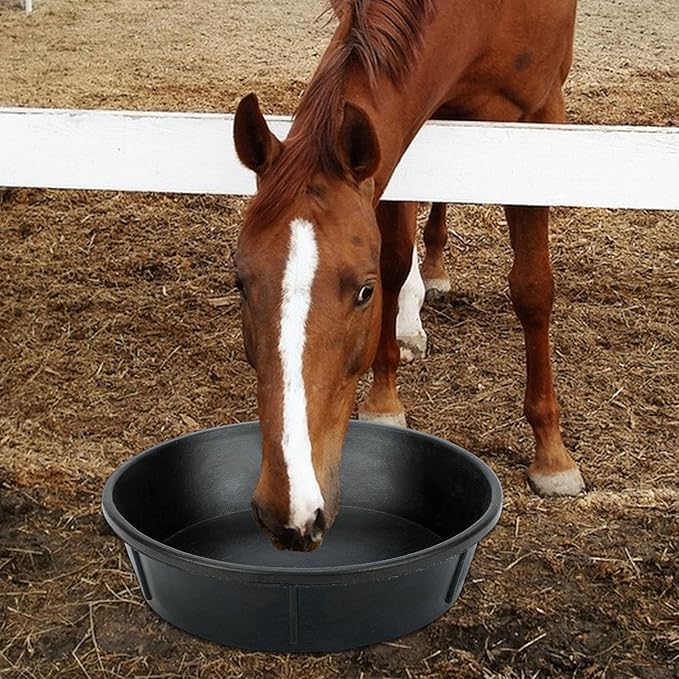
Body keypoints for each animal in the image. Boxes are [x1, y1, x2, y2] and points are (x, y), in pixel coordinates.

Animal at [232, 0, 584, 552]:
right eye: (240, 283)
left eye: (363, 292)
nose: (288, 511)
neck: (481, 15)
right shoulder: (396, 137)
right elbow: (396, 259)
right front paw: (384, 400)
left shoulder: (539, 117)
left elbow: (532, 289)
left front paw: (552, 456)